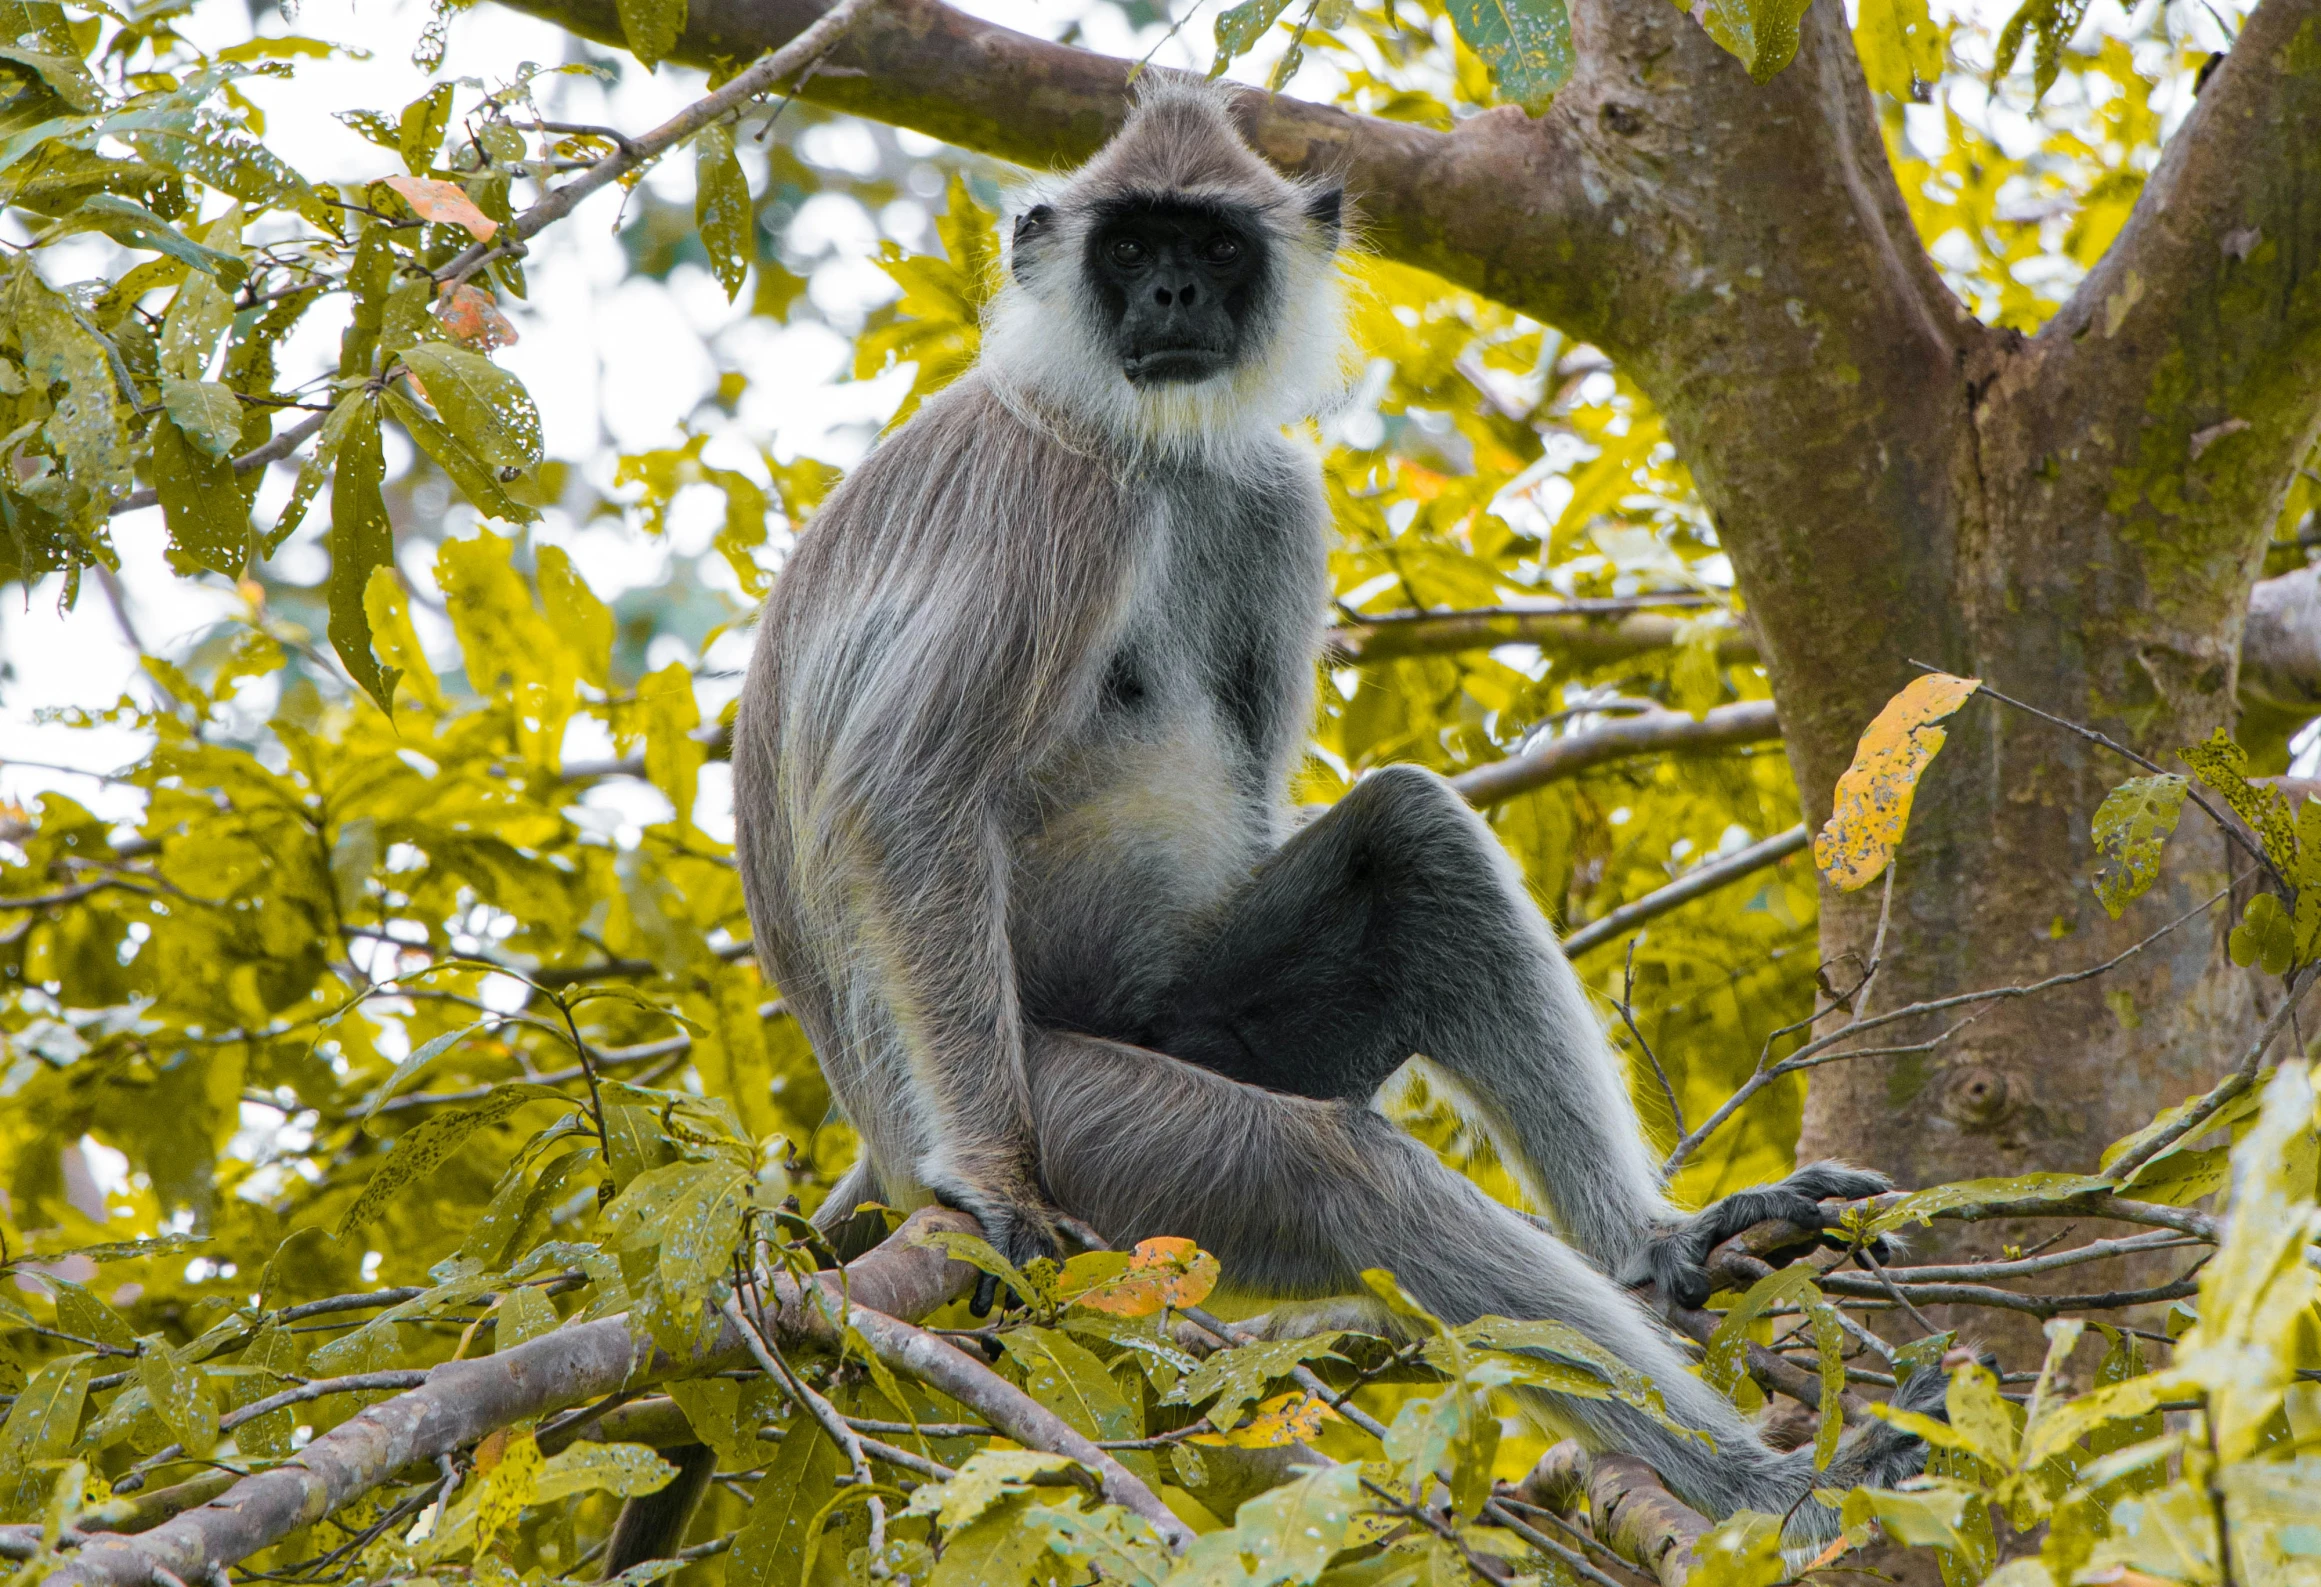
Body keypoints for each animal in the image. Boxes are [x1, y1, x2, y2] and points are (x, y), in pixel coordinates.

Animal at [728, 77, 1940, 1540]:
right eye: (1131, 249)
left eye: (1214, 247)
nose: (1175, 293)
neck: (1146, 452)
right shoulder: (1055, 492)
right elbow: (905, 791)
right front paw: (1000, 1189)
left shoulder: (1265, 492)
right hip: (1070, 1099)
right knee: (1338, 1169)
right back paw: (1777, 1485)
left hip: (1193, 1025)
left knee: (1414, 837)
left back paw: (1653, 1247)